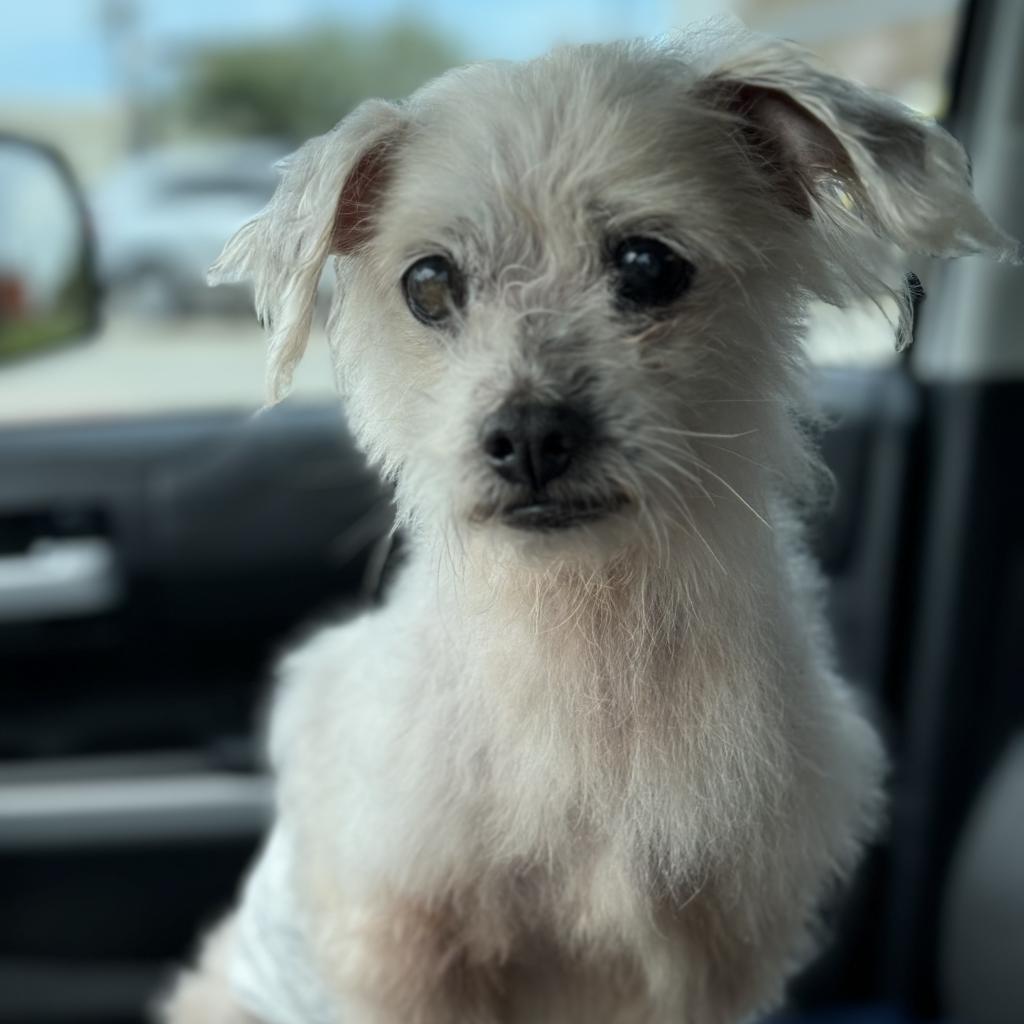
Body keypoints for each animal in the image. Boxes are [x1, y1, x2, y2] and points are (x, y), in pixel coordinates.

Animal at [163, 22, 1019, 1024]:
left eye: (649, 266)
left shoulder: (712, 955)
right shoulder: (404, 947)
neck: (588, 624)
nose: (530, 434)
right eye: (428, 283)